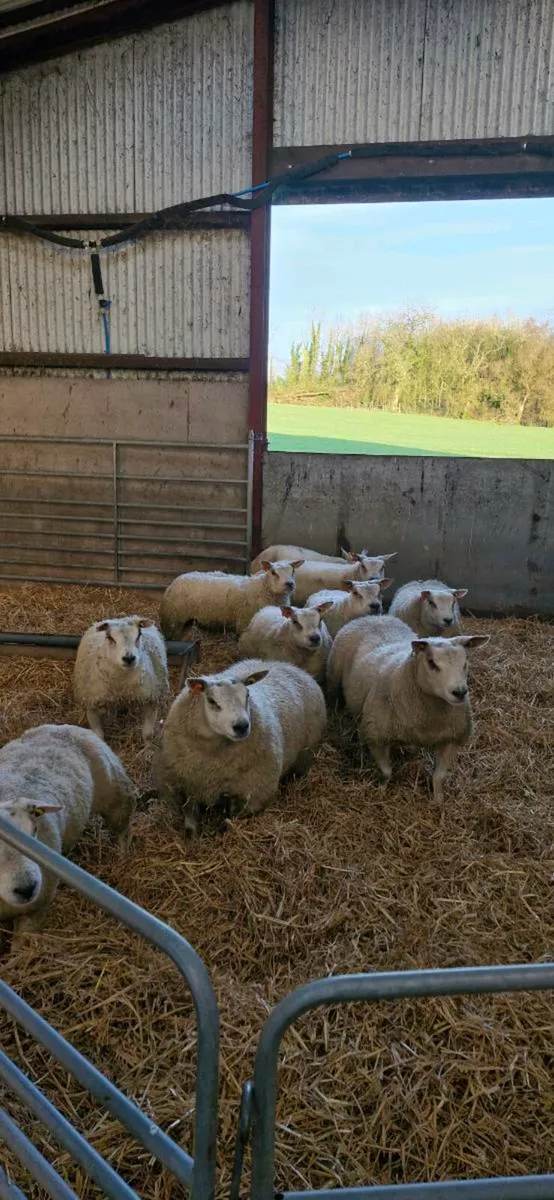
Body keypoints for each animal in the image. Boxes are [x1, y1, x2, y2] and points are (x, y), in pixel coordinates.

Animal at [0, 724, 135, 933]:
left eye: (34, 831)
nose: (28, 888)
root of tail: (61, 726)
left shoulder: (37, 910)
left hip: (115, 793)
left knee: (123, 827)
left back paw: (122, 857)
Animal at [74, 616, 169, 744]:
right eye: (110, 637)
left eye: (139, 634)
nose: (129, 658)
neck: (122, 684)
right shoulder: (91, 704)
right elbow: (98, 736)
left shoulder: (152, 700)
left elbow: (148, 734)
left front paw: (148, 748)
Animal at [156, 658, 326, 836]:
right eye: (212, 701)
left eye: (247, 695)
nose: (242, 726)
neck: (212, 758)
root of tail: (285, 664)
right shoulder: (183, 787)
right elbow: (190, 818)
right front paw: (191, 836)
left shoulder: (251, 794)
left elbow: (228, 820)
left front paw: (219, 832)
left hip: (306, 751)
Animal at [159, 560, 304, 638]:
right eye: (273, 572)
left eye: (293, 571)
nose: (290, 584)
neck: (263, 588)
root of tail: (173, 583)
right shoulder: (244, 622)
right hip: (174, 619)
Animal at [328, 615, 488, 800]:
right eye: (431, 663)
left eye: (466, 661)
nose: (460, 692)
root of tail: (375, 617)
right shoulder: (376, 736)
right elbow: (386, 772)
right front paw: (380, 789)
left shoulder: (453, 738)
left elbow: (439, 776)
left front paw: (438, 800)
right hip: (334, 680)